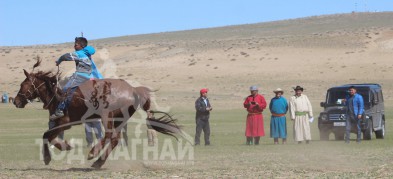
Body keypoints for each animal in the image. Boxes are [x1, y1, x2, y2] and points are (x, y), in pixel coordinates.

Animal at [13, 60, 182, 169]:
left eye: (23, 85)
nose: (16, 101)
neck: (55, 95)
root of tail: (133, 90)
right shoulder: (60, 124)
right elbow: (50, 136)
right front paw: (65, 146)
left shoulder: (64, 121)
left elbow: (46, 135)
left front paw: (49, 157)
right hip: (119, 119)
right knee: (114, 139)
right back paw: (98, 162)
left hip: (107, 116)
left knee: (109, 136)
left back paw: (93, 153)